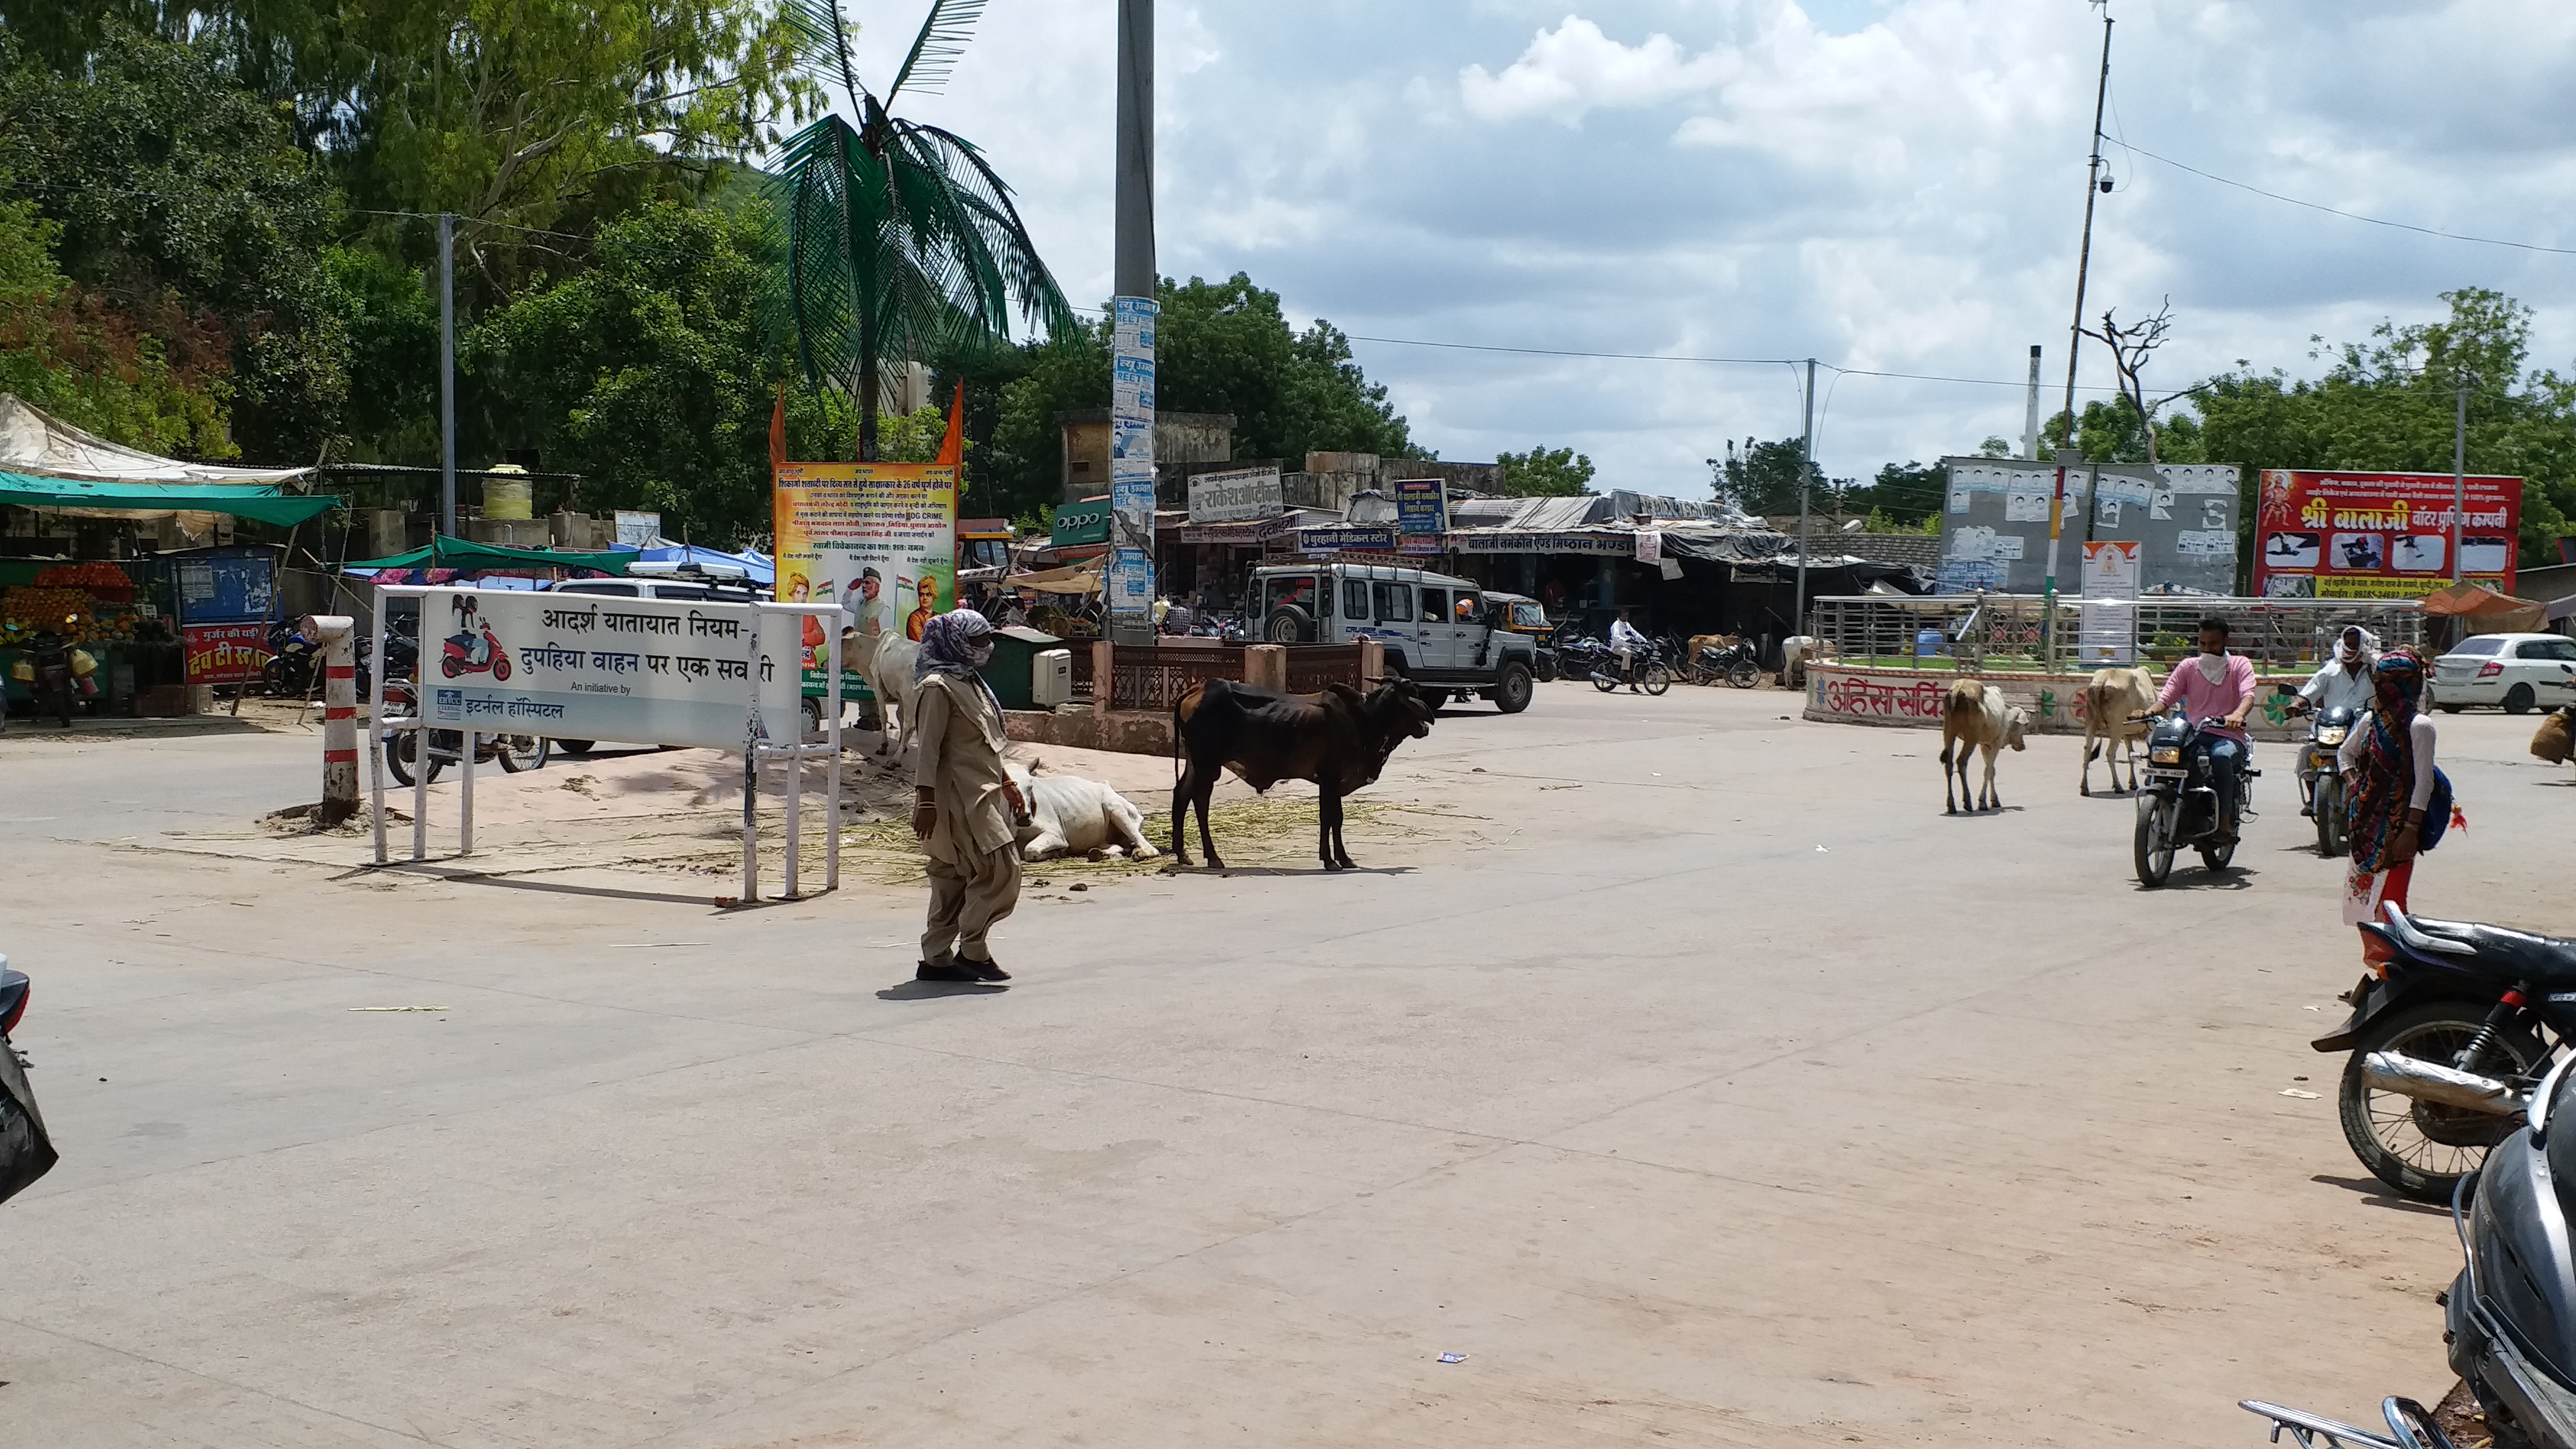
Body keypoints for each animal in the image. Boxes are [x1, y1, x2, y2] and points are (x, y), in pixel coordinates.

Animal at [1005, 757, 1159, 856]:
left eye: (1030, 786)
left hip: (1115, 808)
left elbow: (1030, 850)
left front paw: (1057, 852)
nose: (1024, 817)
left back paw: (1141, 853)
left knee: (1148, 847)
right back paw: (1100, 853)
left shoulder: (1056, 833)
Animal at [1175, 675, 1442, 866]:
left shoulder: (1334, 782)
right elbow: (1329, 817)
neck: (1363, 718)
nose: (1430, 719)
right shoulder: (1330, 778)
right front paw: (1331, 860)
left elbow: (1336, 818)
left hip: (1195, 763)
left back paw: (1183, 855)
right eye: (1410, 696)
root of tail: (1199, 689)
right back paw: (1213, 857)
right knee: (1200, 802)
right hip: (1207, 763)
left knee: (1181, 796)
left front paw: (1342, 859)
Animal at [1937, 675, 2030, 815]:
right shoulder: (1996, 743)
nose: (2023, 746)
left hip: (1948, 732)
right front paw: (1983, 803)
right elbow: (1988, 770)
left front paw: (1994, 800)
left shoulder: (1984, 745)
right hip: (1971, 738)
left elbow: (1992, 770)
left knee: (1949, 763)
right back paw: (1968, 803)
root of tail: (1958, 690)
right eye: (2024, 727)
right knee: (1961, 762)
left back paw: (1951, 806)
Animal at [2071, 665, 2153, 794]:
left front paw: (2133, 783)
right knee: (2110, 753)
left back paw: (2084, 787)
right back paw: (2118, 786)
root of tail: (2104, 679)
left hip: (2091, 724)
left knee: (2087, 750)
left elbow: (2131, 755)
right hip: (2117, 728)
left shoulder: (2127, 735)